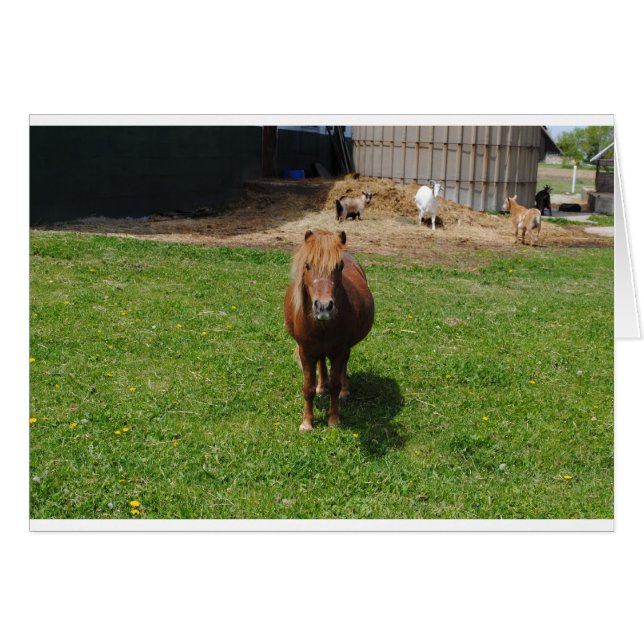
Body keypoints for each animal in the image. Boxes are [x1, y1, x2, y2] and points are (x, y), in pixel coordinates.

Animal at [284, 229, 374, 431]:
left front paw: (333, 420)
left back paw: (345, 390)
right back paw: (321, 387)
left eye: (339, 267)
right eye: (307, 265)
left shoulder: (339, 351)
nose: (324, 307)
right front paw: (307, 422)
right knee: (321, 362)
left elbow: (334, 385)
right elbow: (308, 388)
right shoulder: (306, 352)